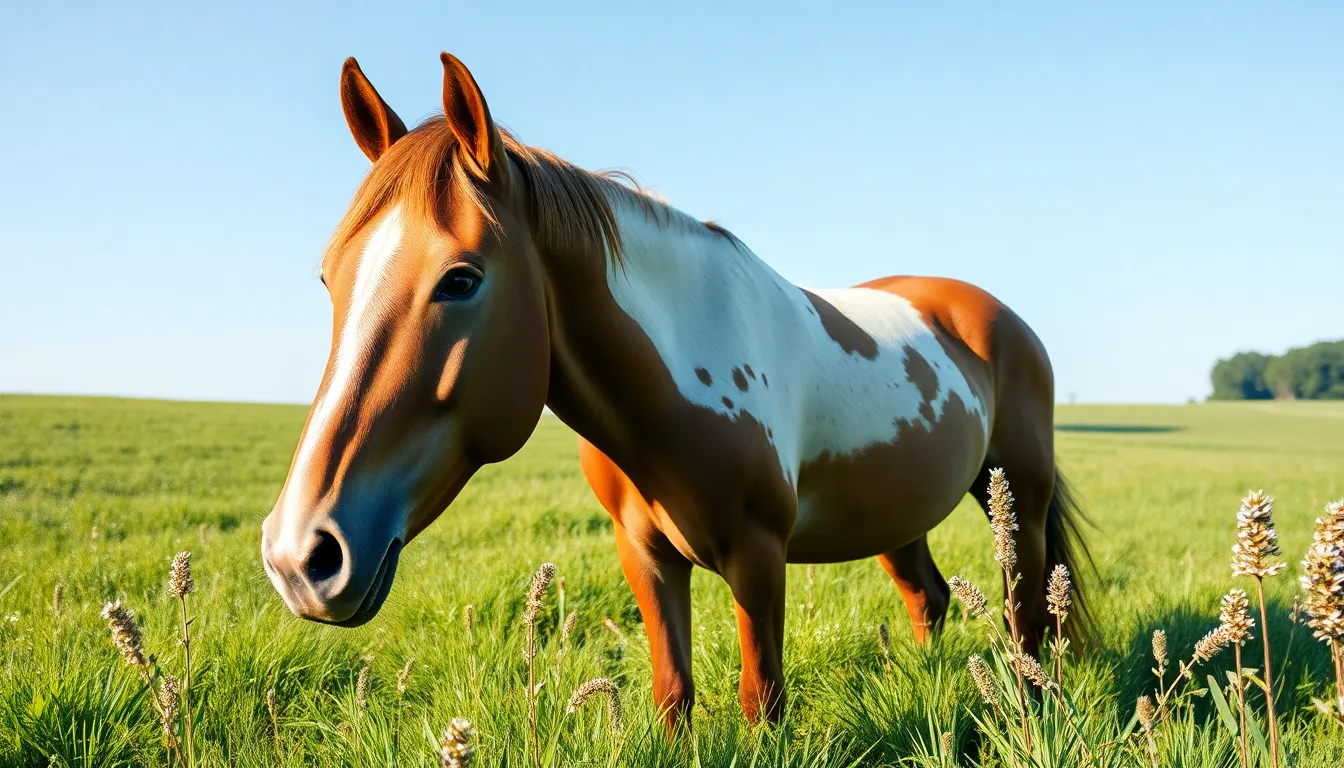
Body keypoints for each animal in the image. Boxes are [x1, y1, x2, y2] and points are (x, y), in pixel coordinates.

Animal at [259, 52, 1091, 726]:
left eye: (460, 279)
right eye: (330, 278)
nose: (301, 556)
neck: (680, 378)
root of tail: (996, 317)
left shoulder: (758, 555)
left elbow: (762, 701)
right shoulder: (647, 555)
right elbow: (673, 696)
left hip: (1016, 496)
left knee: (1025, 616)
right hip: (898, 514)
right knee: (930, 598)